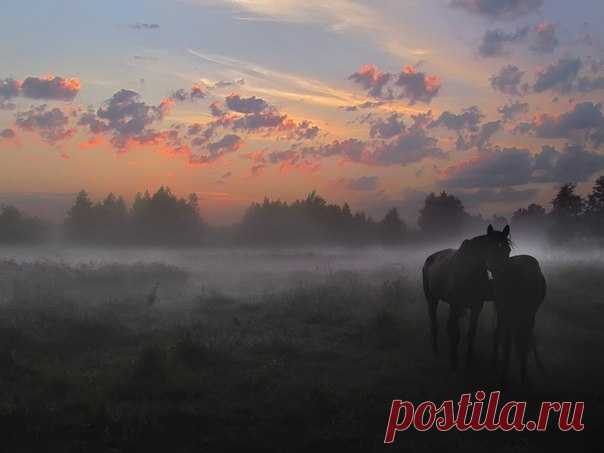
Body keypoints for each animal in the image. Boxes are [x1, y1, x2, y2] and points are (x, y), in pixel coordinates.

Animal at [422, 224, 512, 370]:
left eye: (508, 249)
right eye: (492, 248)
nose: (503, 274)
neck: (470, 272)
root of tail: (430, 258)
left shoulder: (476, 307)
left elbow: (471, 333)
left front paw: (469, 360)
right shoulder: (455, 305)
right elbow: (455, 333)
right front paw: (454, 361)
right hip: (432, 300)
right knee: (435, 324)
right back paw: (436, 353)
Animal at [486, 252, 548, 384]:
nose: (488, 266)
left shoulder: (503, 312)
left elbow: (500, 336)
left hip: (513, 315)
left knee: (511, 340)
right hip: (527, 315)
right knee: (523, 339)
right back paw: (523, 372)